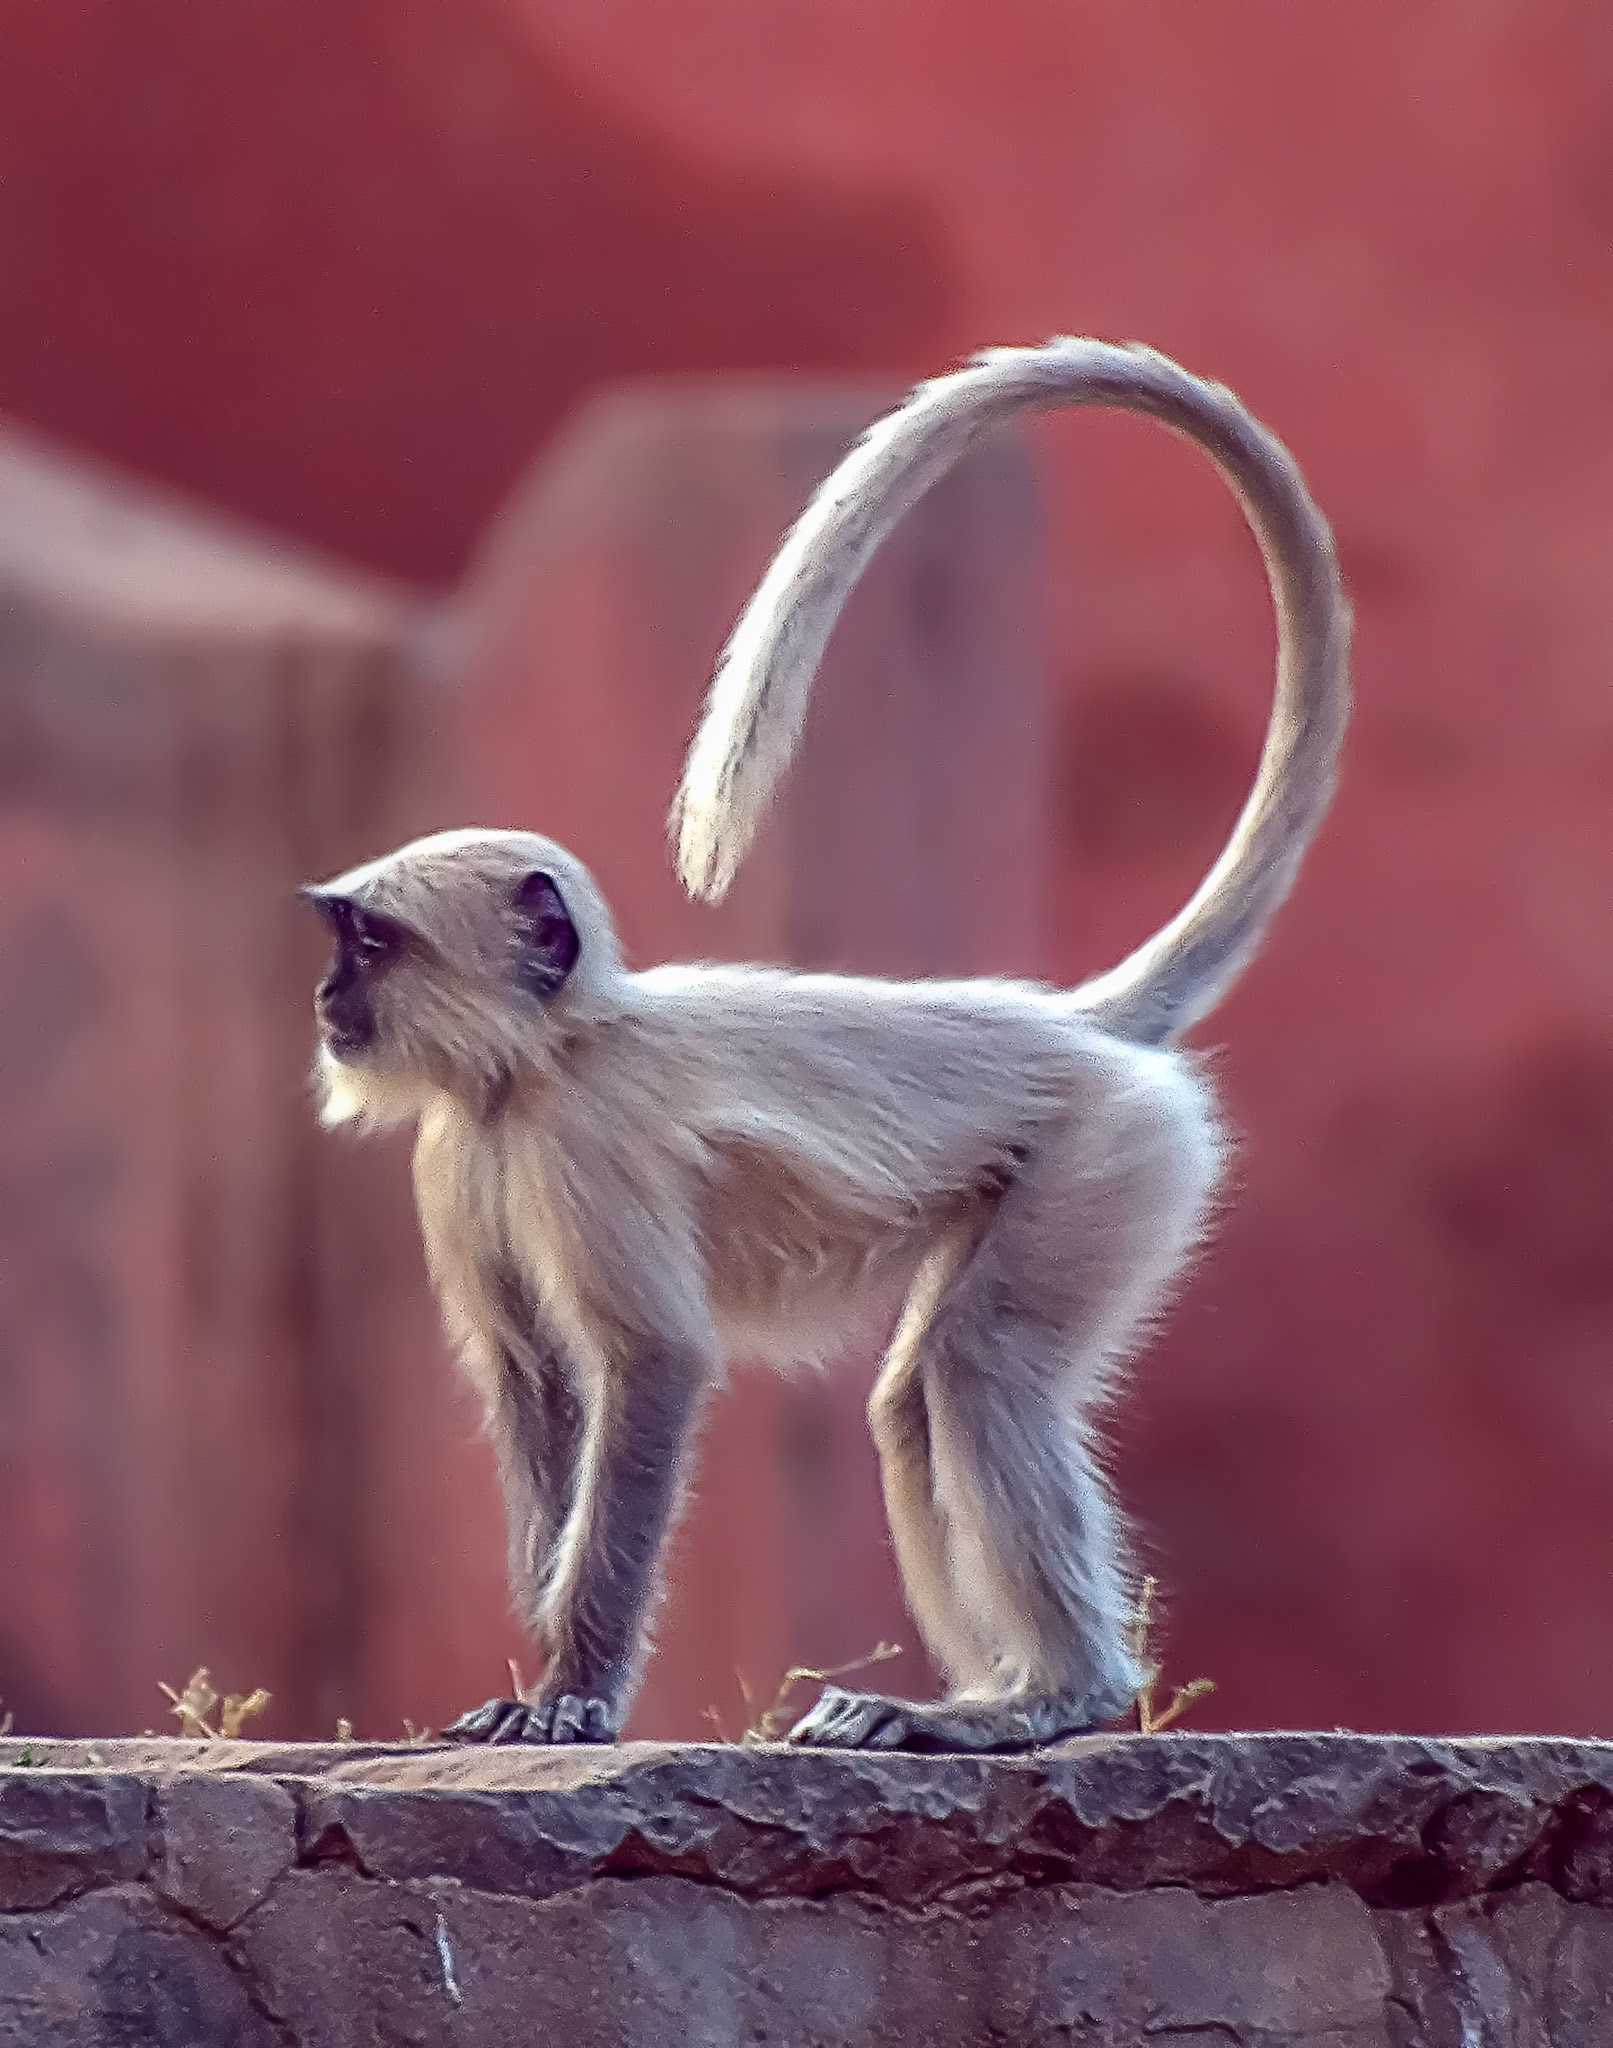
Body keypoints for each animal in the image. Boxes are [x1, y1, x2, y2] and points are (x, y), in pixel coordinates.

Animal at [303, 338, 1350, 1753]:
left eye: (370, 943)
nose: (323, 996)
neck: (544, 1059)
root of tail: (1061, 1022)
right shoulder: (460, 1146)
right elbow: (532, 1380)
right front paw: (537, 1656)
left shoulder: (583, 1136)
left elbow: (651, 1369)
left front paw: (574, 1688)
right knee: (909, 1401)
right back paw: (984, 1693)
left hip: (1115, 1149)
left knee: (977, 1366)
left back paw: (1055, 1697)